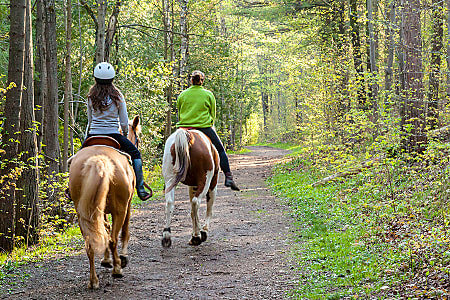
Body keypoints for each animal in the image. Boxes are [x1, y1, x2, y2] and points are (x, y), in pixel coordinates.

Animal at [68, 115, 142, 288]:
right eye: (138, 137)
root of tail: (99, 159)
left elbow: (104, 229)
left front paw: (106, 259)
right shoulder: (127, 206)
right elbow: (124, 231)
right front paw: (122, 258)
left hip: (83, 212)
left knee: (90, 243)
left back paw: (93, 281)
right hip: (120, 209)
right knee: (114, 238)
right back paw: (117, 269)